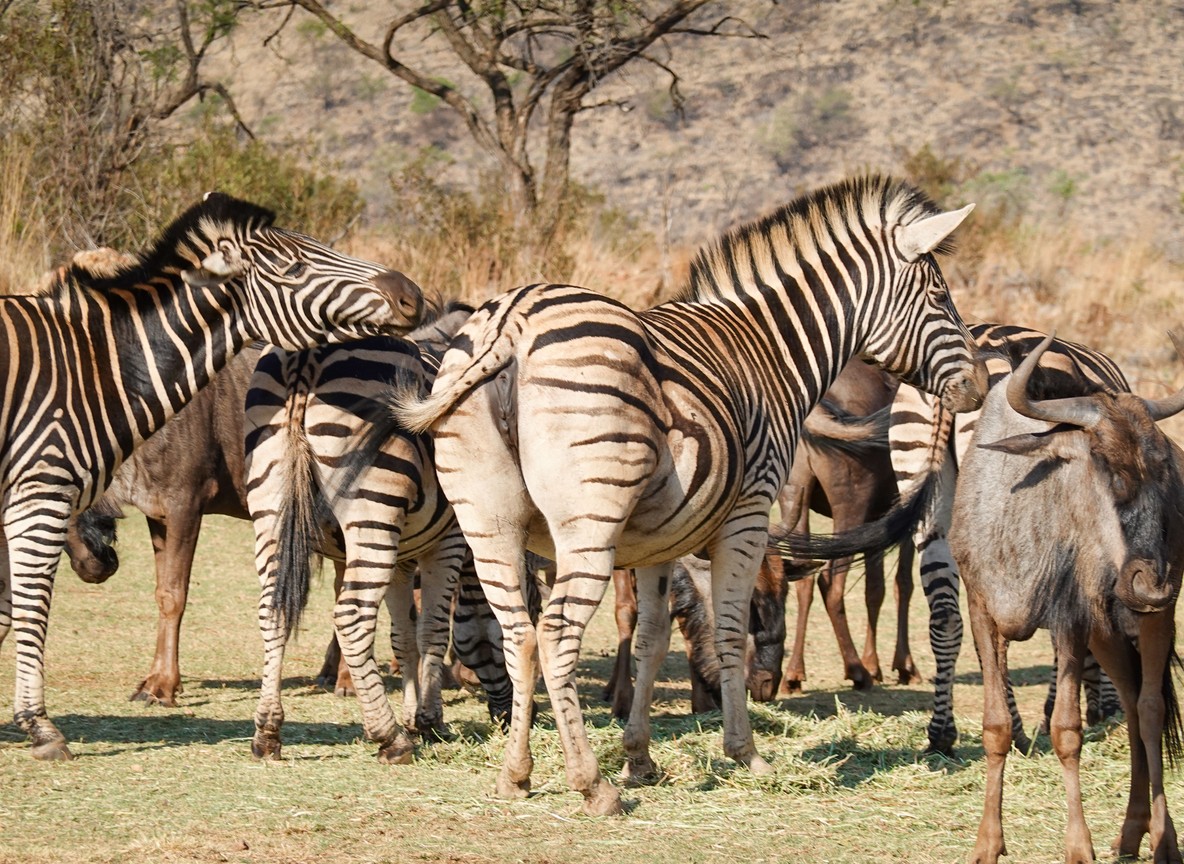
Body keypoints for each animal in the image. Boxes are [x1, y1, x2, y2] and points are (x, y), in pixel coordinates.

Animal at [0, 192, 423, 761]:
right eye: (294, 267)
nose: (411, 294)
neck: (100, 372)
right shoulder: (136, 505)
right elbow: (156, 593)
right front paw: (153, 684)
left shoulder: (178, 498)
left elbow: (168, 594)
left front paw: (156, 687)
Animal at [244, 301, 514, 764]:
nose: (509, 718)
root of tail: (307, 355)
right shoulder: (449, 541)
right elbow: (433, 629)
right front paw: (428, 721)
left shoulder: (404, 554)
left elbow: (402, 635)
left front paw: (415, 714)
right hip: (373, 507)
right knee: (352, 616)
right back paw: (390, 739)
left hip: (271, 503)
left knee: (271, 611)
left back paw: (267, 733)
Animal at [377, 175, 987, 815]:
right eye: (940, 297)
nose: (980, 386)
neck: (769, 349)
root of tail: (511, 325)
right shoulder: (748, 513)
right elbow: (728, 628)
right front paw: (745, 753)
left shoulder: (657, 538)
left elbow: (652, 636)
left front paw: (640, 759)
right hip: (588, 521)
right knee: (557, 633)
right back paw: (591, 783)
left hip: (488, 522)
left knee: (520, 633)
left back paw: (517, 774)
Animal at [887, 322, 1128, 755]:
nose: (1107, 711)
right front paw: (1063, 712)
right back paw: (1012, 728)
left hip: (924, 480)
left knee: (947, 618)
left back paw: (944, 733)